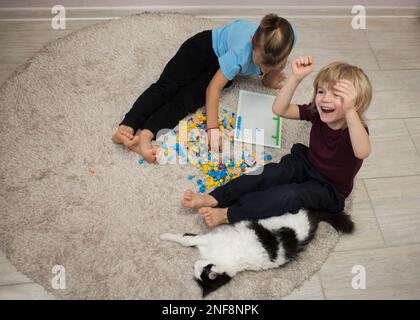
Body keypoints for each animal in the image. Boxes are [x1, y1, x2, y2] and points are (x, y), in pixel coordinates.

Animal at [161, 210, 354, 298]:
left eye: (201, 273)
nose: (194, 266)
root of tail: (314, 220)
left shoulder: (210, 239)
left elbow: (185, 240)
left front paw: (163, 236)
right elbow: (187, 237)